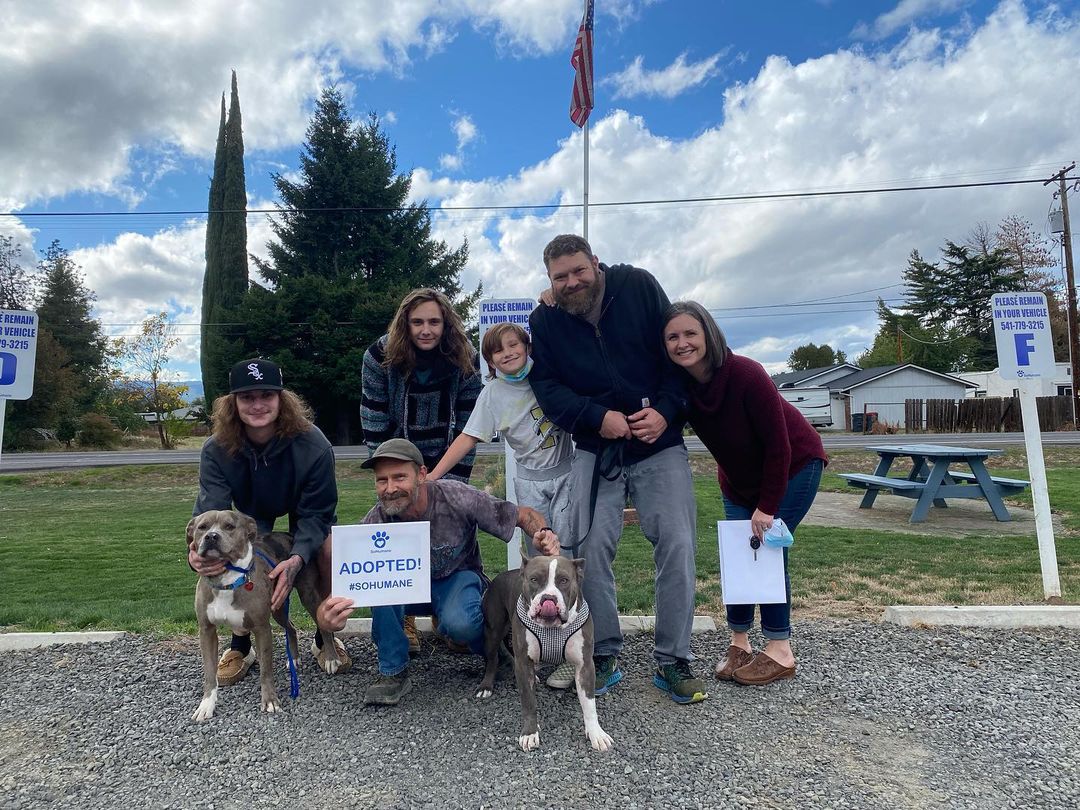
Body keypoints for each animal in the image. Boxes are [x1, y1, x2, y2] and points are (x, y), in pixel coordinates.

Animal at [185, 509, 336, 725]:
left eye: (229, 526)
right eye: (202, 527)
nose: (211, 537)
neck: (227, 579)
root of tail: (289, 535)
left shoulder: (262, 628)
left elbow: (266, 670)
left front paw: (270, 701)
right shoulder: (206, 631)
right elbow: (209, 673)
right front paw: (206, 705)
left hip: (308, 596)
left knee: (323, 625)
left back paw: (331, 658)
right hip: (278, 604)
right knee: (291, 627)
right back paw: (294, 659)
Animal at [477, 557, 613, 756]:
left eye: (564, 580)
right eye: (534, 579)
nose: (549, 598)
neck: (553, 627)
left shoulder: (585, 665)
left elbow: (589, 705)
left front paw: (596, 733)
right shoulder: (523, 662)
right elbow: (529, 702)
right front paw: (529, 733)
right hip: (493, 632)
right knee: (493, 658)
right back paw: (486, 686)